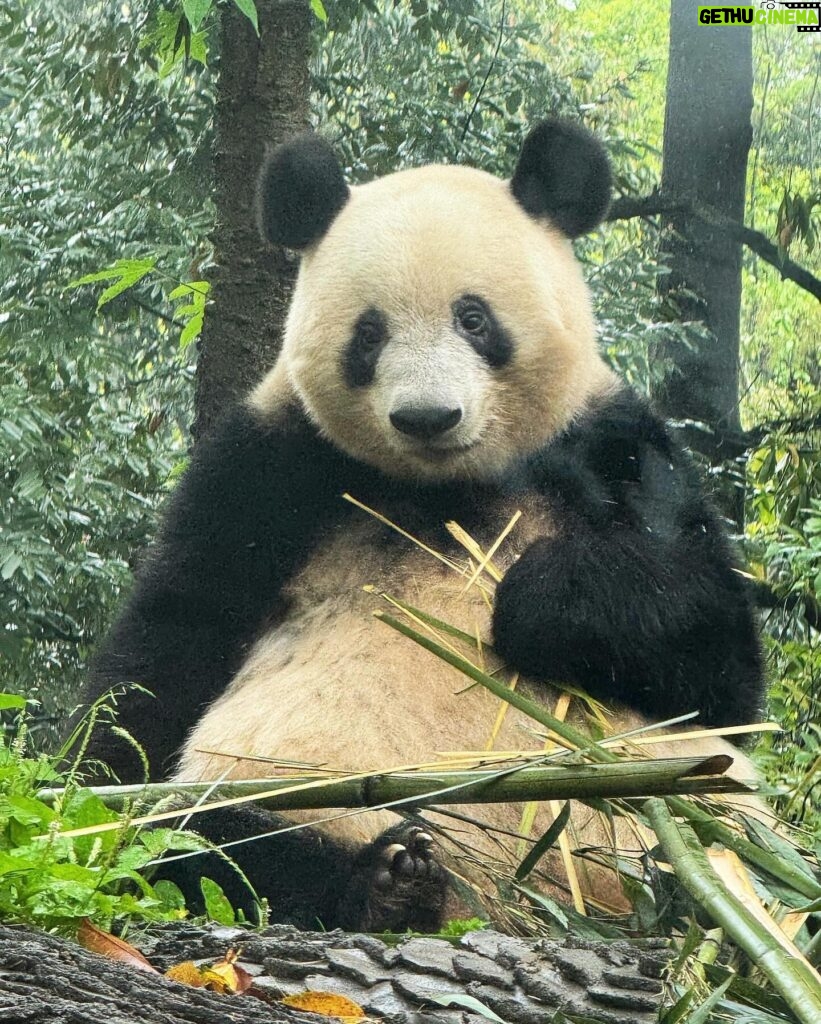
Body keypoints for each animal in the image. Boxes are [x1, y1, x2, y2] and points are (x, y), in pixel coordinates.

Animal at [82, 117, 761, 929]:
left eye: (474, 319)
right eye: (368, 334)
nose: (428, 417)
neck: (445, 486)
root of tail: (509, 899)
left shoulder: (611, 445)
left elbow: (715, 662)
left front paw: (546, 596)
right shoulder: (271, 461)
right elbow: (178, 636)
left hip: (672, 795)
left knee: (719, 831)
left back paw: (697, 899)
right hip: (305, 788)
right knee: (222, 840)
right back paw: (388, 882)